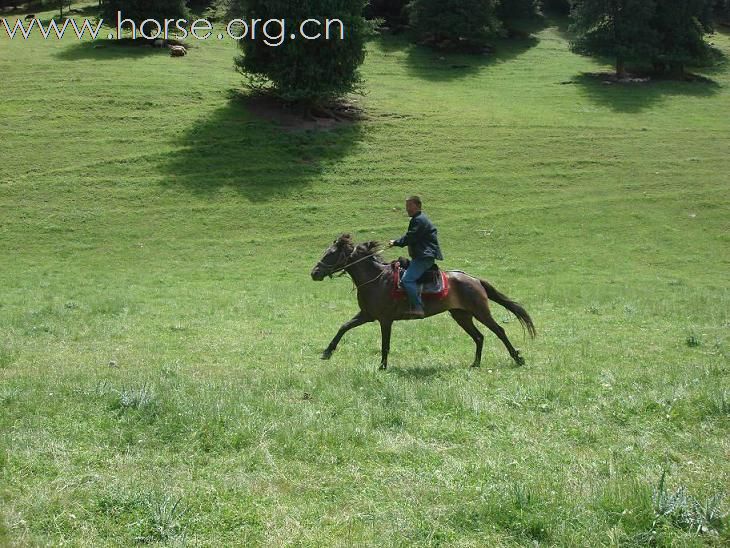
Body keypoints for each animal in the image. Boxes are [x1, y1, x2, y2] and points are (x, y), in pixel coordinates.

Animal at [310, 233, 532, 370]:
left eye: (331, 254)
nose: (314, 273)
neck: (376, 279)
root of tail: (475, 279)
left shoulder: (385, 320)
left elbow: (385, 344)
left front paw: (382, 366)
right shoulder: (367, 315)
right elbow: (343, 327)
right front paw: (327, 352)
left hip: (480, 312)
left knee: (499, 331)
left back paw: (518, 358)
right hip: (461, 315)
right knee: (479, 337)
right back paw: (475, 364)